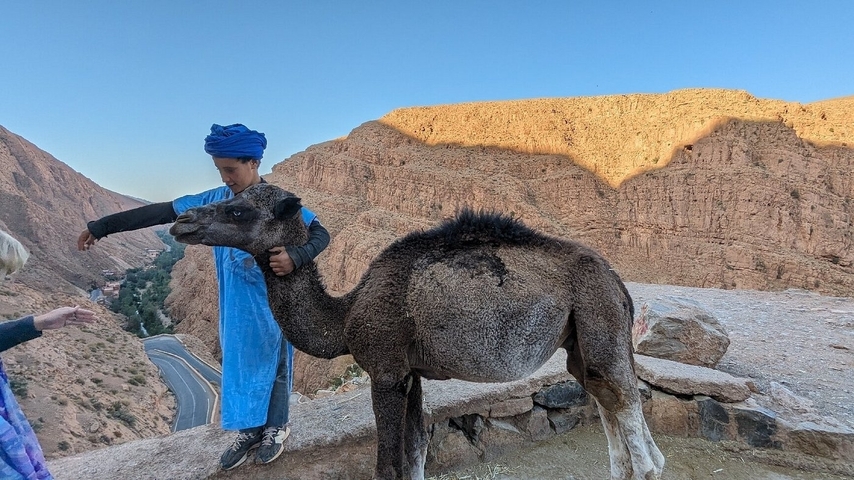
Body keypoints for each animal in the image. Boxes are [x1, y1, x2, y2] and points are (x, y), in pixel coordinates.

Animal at [169, 183, 665, 480]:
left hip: (598, 314)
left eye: (236, 209)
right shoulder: (411, 374)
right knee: (603, 394)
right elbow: (415, 455)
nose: (182, 221)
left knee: (627, 410)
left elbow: (389, 465)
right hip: (581, 337)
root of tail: (617, 281)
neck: (345, 316)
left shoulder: (386, 371)